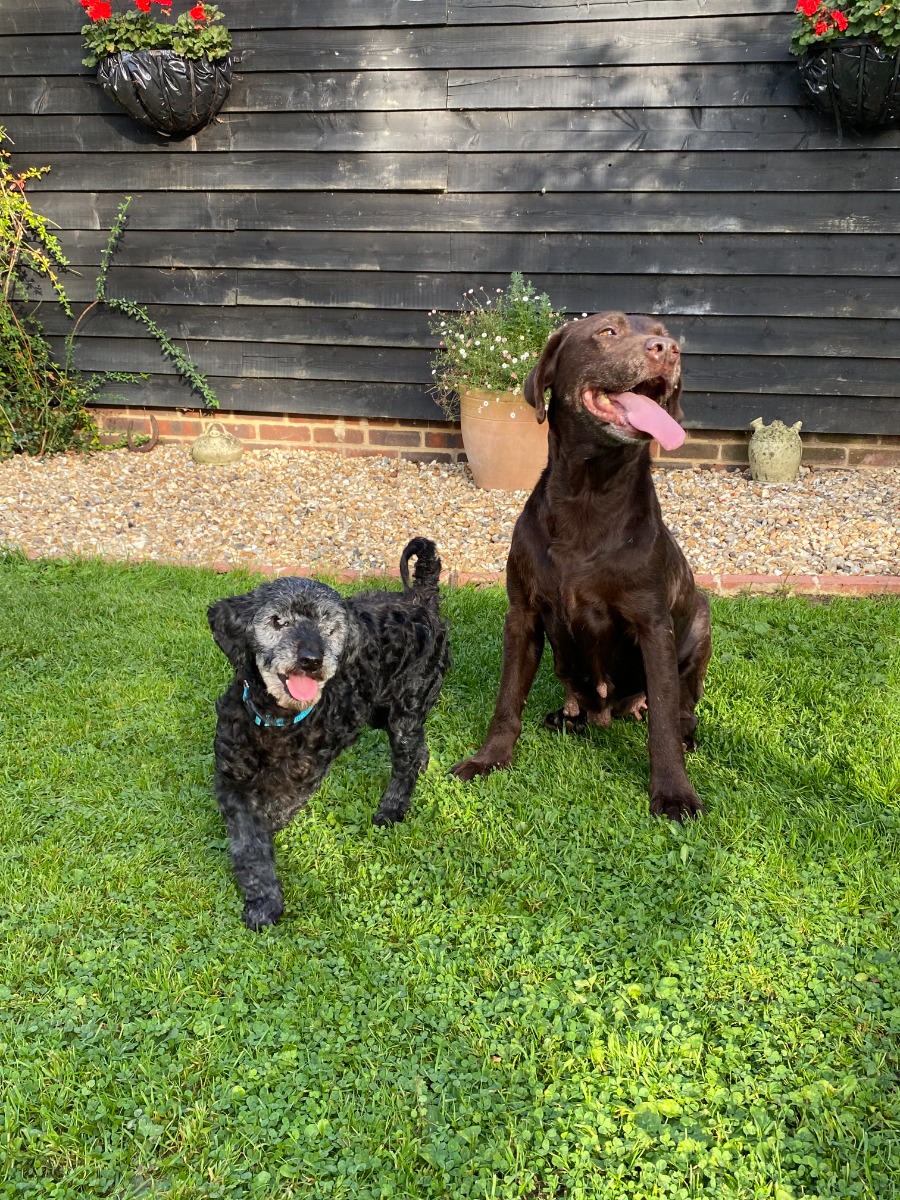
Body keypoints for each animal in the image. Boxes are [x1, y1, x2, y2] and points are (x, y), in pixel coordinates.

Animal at [210, 540, 451, 931]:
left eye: (329, 626)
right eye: (279, 620)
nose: (311, 659)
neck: (278, 721)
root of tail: (420, 598)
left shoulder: (301, 779)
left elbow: (270, 818)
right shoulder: (231, 778)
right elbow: (250, 843)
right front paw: (262, 900)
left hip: (406, 707)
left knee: (403, 763)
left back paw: (391, 809)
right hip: (384, 713)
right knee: (417, 748)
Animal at [453, 309, 715, 820]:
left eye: (663, 333)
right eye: (607, 332)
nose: (668, 349)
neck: (589, 496)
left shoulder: (653, 625)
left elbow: (662, 725)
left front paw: (673, 792)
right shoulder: (522, 615)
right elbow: (507, 699)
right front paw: (489, 758)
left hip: (700, 621)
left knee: (682, 705)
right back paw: (568, 714)